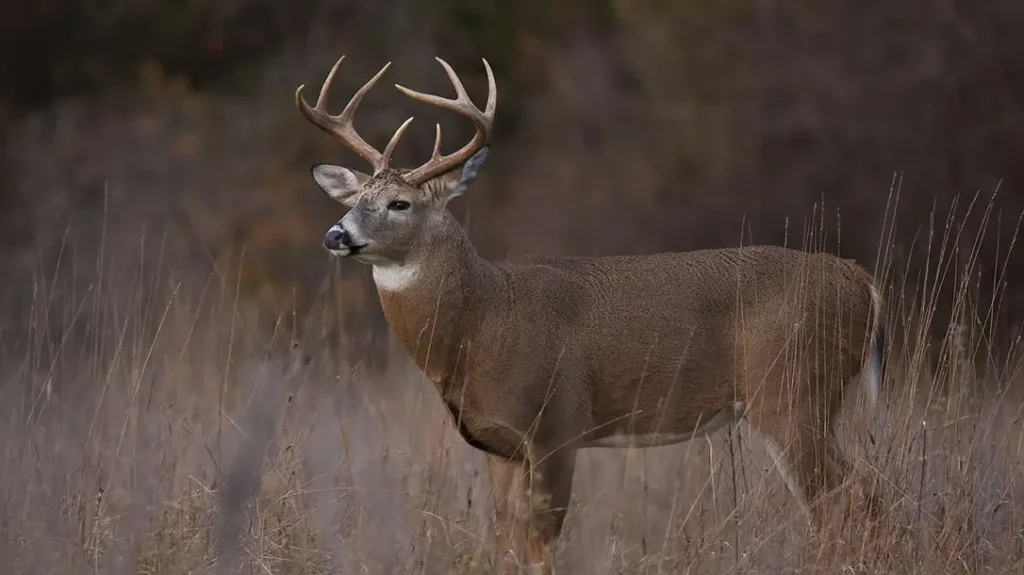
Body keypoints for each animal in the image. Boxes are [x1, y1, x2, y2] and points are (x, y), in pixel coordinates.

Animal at [295, 54, 887, 573]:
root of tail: (864, 282)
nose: (336, 235)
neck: (483, 322)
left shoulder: (557, 425)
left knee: (847, 496)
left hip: (794, 391)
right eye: (352, 200)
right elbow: (506, 544)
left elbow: (541, 545)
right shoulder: (498, 446)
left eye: (401, 204)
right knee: (861, 494)